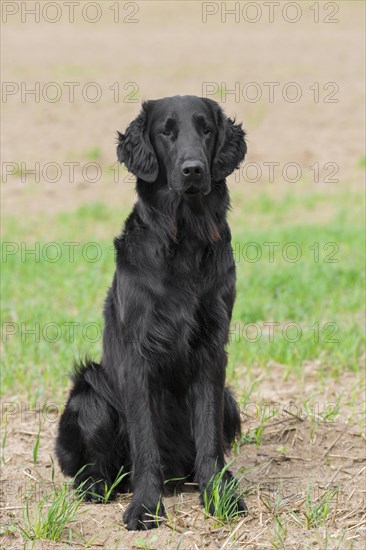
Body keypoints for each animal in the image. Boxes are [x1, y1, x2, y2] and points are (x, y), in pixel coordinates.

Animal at [55, 97, 247, 532]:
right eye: (166, 131)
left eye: (206, 129)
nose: (193, 169)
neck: (186, 239)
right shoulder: (137, 355)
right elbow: (144, 441)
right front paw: (145, 506)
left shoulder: (213, 349)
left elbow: (209, 438)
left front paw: (219, 495)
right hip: (90, 392)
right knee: (92, 466)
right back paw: (96, 486)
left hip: (230, 400)